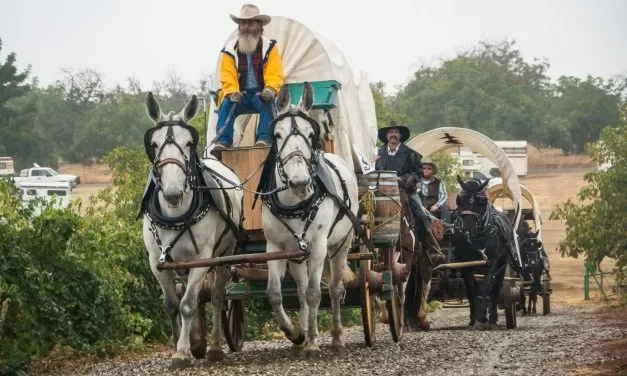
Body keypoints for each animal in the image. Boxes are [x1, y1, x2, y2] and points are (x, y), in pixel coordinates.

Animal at [142, 92, 243, 368]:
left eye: (188, 143)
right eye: (154, 144)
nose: (173, 193)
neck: (176, 214)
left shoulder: (202, 258)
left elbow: (187, 304)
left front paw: (181, 352)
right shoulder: (157, 262)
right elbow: (172, 304)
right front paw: (184, 344)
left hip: (223, 254)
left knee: (217, 296)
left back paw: (215, 347)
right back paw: (198, 342)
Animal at [260, 83, 358, 356]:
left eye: (310, 134)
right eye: (277, 134)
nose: (300, 182)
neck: (295, 202)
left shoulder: (318, 246)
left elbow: (316, 294)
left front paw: (313, 343)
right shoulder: (276, 247)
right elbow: (275, 294)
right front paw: (295, 333)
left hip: (340, 244)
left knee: (334, 289)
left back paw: (336, 338)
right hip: (296, 253)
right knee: (302, 290)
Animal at [454, 176, 516, 326]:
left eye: (481, 201)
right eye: (460, 199)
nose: (467, 228)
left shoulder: (492, 262)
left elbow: (486, 286)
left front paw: (482, 315)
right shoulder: (464, 263)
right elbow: (471, 289)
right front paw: (473, 317)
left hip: (502, 265)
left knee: (496, 288)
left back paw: (492, 317)